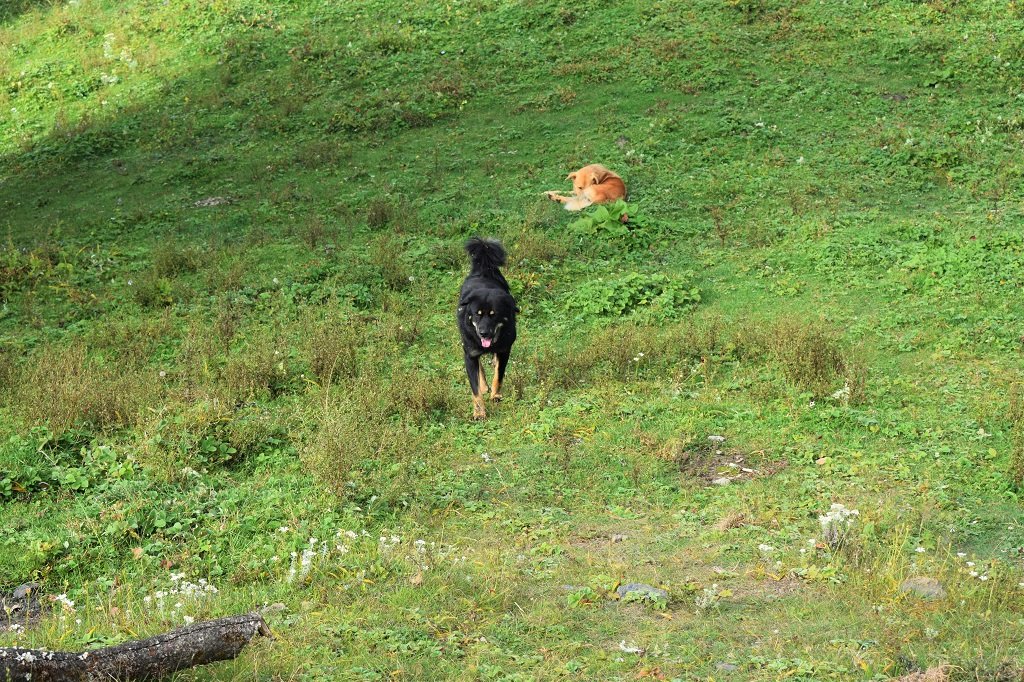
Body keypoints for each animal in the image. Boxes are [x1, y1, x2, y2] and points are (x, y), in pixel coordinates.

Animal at [458, 238, 520, 419]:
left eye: (494, 315)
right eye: (477, 314)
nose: (483, 332)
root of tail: (483, 270)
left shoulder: (504, 349)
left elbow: (499, 374)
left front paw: (496, 395)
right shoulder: (470, 353)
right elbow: (475, 389)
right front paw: (479, 412)